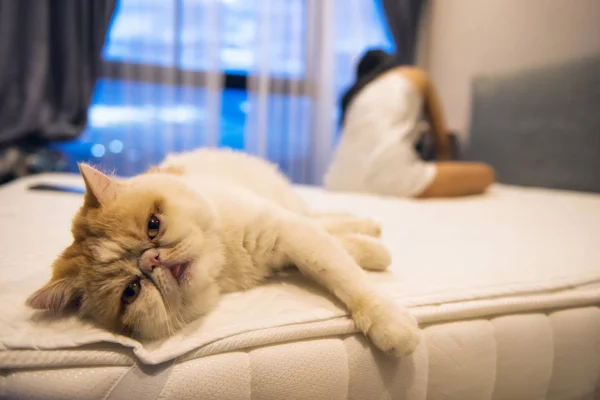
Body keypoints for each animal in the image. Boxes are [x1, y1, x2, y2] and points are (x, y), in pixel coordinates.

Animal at [25, 148, 422, 358]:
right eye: (131, 291)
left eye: (153, 226)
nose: (152, 260)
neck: (224, 261)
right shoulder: (290, 242)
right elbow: (337, 255)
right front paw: (370, 254)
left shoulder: (288, 231)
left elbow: (345, 276)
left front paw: (391, 324)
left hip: (285, 202)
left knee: (321, 217)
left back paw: (369, 227)